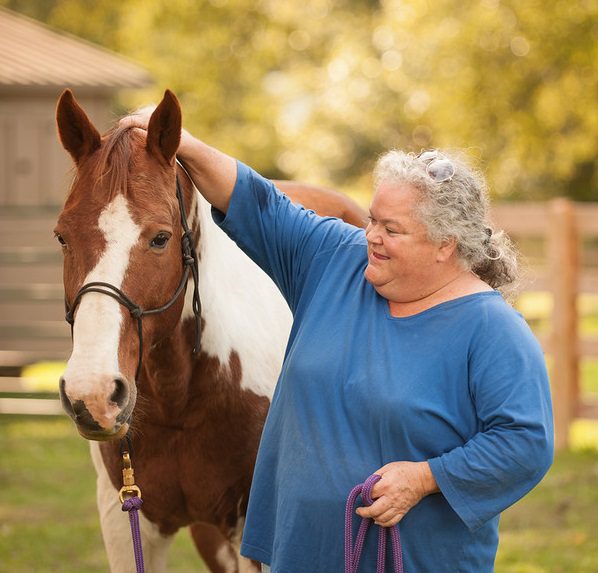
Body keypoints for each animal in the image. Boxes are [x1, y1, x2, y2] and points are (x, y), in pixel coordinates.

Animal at [55, 89, 370, 572]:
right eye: (62, 237)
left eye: (161, 238)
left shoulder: (250, 535)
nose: (92, 394)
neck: (180, 399)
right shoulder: (126, 522)